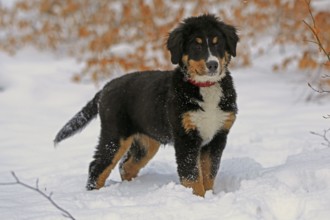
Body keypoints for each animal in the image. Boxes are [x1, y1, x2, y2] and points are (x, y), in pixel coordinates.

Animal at [55, 13, 238, 196]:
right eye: (196, 46)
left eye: (218, 43)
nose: (213, 64)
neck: (206, 87)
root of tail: (106, 86)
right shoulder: (185, 136)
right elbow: (191, 175)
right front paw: (196, 198)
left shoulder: (218, 135)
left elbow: (209, 172)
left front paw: (209, 195)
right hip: (114, 134)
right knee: (97, 165)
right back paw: (94, 193)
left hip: (146, 143)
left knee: (125, 165)